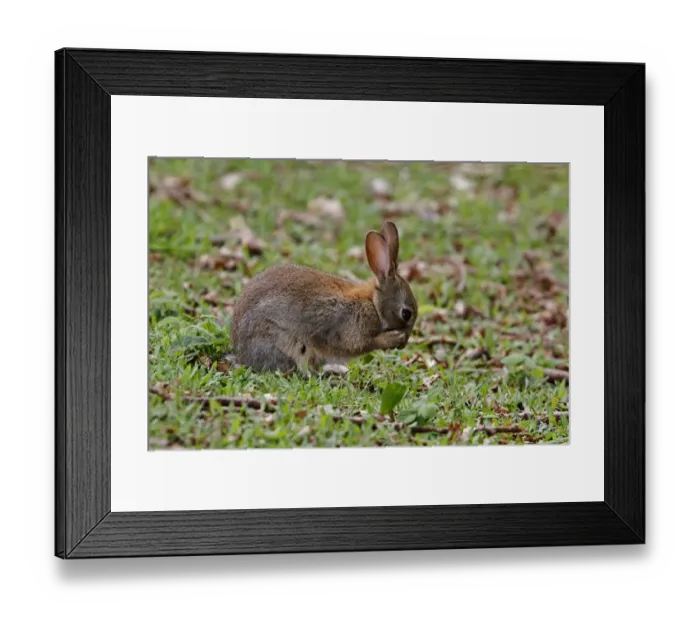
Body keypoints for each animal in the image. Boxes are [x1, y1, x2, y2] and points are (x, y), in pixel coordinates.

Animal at [230, 221, 418, 374]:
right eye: (406, 314)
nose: (404, 343)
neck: (372, 303)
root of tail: (241, 354)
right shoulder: (352, 327)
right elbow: (362, 344)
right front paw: (393, 338)